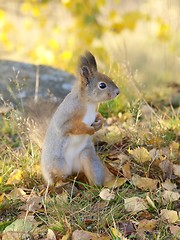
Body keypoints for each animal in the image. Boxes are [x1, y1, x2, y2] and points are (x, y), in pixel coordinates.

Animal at [28, 51, 120, 187]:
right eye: (102, 85)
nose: (118, 92)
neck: (89, 103)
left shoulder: (94, 113)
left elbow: (99, 116)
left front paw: (99, 123)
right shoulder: (67, 117)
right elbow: (73, 127)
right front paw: (90, 130)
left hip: (87, 157)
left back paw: (96, 185)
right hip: (58, 165)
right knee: (56, 178)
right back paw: (61, 185)